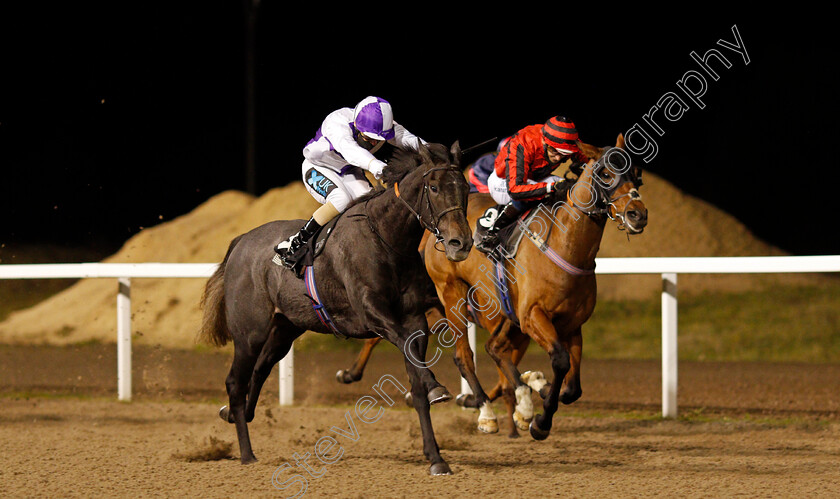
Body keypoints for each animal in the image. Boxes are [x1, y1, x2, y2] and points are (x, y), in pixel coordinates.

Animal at [198, 142, 472, 476]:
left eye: (465, 188)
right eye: (433, 187)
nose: (461, 243)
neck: (386, 239)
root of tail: (240, 241)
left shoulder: (415, 319)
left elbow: (418, 381)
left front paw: (436, 457)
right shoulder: (372, 313)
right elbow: (407, 352)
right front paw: (436, 387)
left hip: (284, 328)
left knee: (260, 369)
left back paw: (235, 415)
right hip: (249, 332)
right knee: (236, 382)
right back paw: (247, 453)